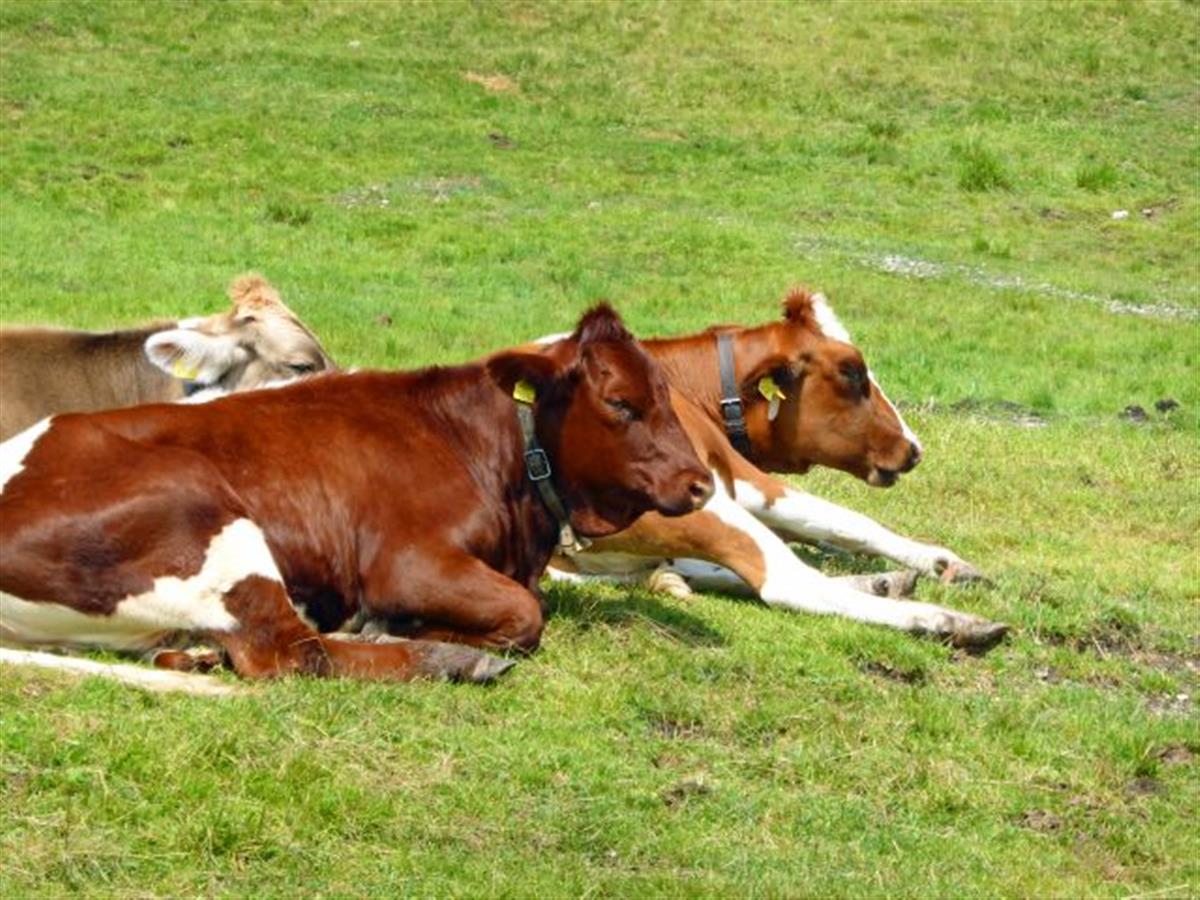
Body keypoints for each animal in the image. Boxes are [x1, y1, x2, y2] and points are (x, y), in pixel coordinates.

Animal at [0, 305, 713, 688]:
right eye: (621, 402)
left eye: (667, 391)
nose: (701, 483)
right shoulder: (407, 561)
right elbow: (523, 614)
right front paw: (407, 627)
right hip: (208, 516)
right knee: (294, 653)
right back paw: (452, 658)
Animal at [547, 290, 1007, 649]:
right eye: (852, 372)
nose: (914, 450)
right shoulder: (741, 476)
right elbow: (843, 520)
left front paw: (932, 564)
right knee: (784, 580)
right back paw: (946, 621)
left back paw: (885, 583)